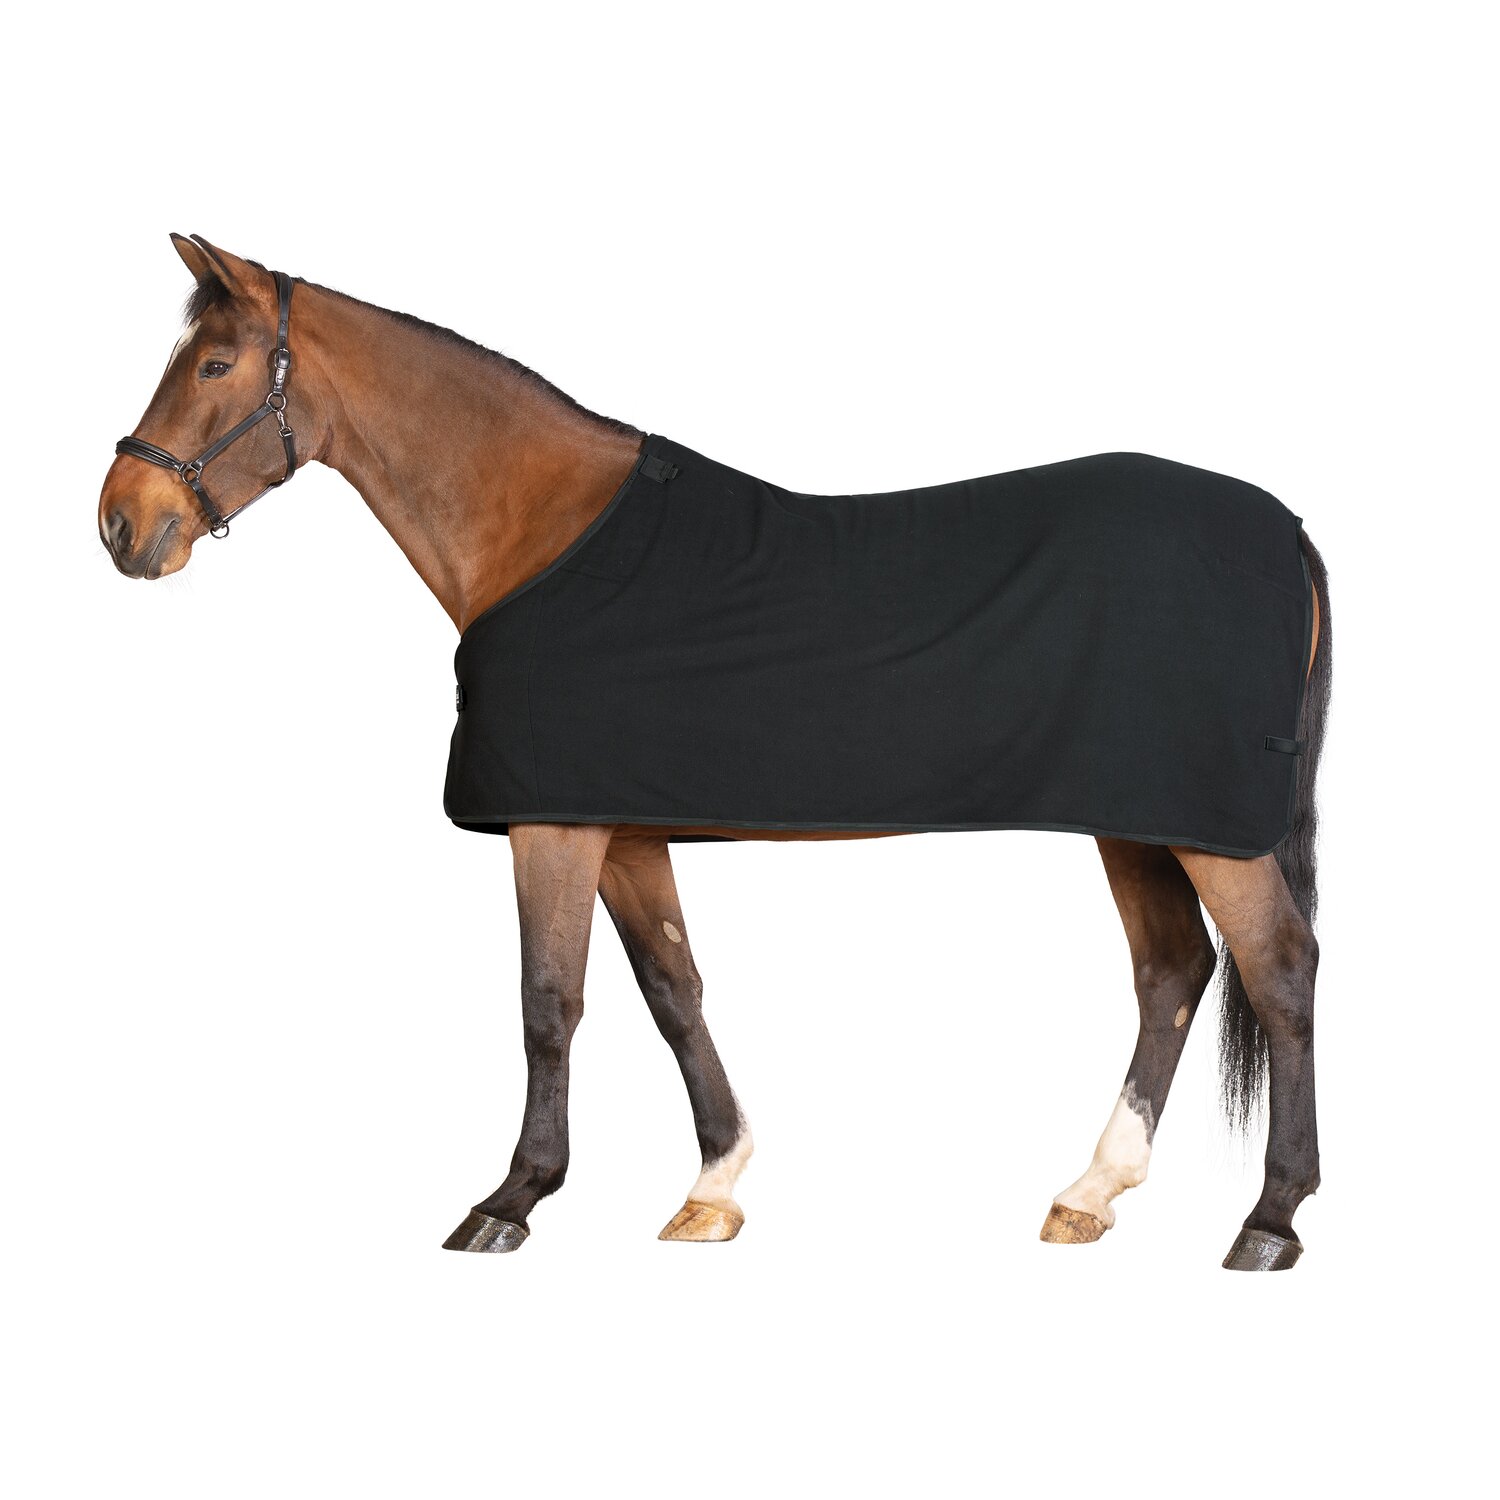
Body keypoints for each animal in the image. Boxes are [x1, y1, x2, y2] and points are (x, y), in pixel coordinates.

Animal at [99, 235, 1329, 1271]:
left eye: (213, 364)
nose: (121, 523)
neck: (541, 533)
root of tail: (1291, 530)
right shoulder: (624, 825)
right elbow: (672, 989)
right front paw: (714, 1188)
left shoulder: (553, 824)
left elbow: (548, 1000)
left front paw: (511, 1199)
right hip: (1139, 820)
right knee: (1173, 972)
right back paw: (1091, 1191)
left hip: (1207, 832)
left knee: (1279, 969)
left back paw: (1270, 1219)